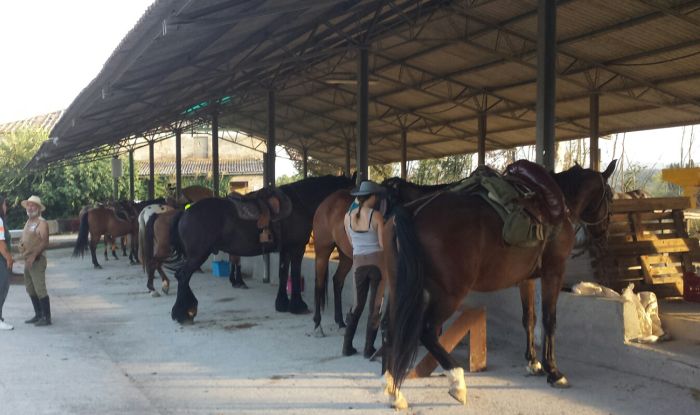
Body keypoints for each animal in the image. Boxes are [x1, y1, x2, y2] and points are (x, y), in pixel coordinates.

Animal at [169, 174, 356, 324]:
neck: (300, 203)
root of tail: (185, 213)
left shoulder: (285, 249)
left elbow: (283, 273)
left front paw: (282, 304)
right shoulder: (296, 248)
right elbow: (295, 274)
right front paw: (298, 305)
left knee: (182, 276)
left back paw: (185, 311)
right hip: (198, 255)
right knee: (183, 276)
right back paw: (183, 314)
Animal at [312, 179, 454, 334]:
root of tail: (326, 202)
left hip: (346, 257)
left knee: (337, 281)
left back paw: (340, 321)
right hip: (322, 251)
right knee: (319, 284)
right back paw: (317, 323)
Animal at [380, 160, 616, 410]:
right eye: (610, 196)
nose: (603, 235)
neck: (558, 205)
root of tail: (410, 211)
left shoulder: (527, 278)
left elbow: (529, 318)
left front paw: (533, 363)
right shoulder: (554, 272)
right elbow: (549, 320)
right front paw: (553, 370)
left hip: (400, 289)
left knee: (391, 329)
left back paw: (395, 392)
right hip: (449, 294)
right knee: (426, 331)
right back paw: (457, 382)